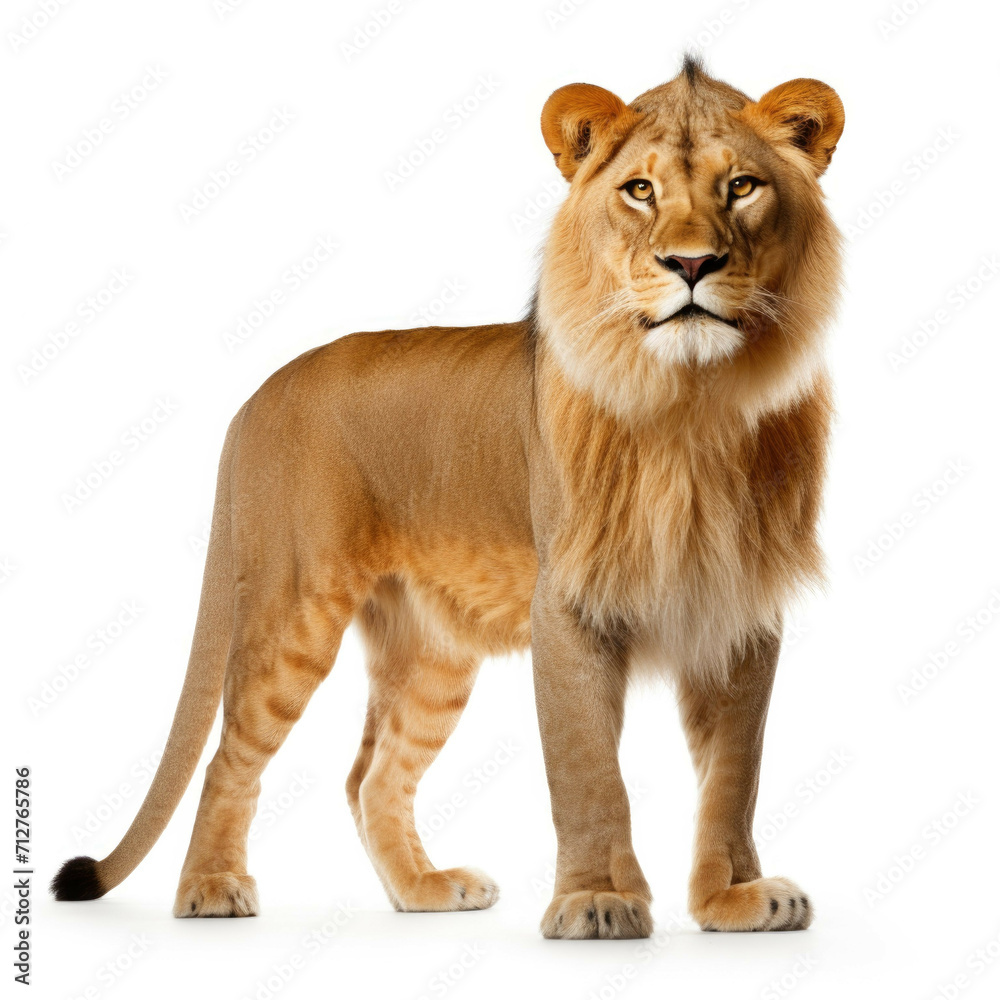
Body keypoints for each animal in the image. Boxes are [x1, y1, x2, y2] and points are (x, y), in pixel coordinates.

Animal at [52, 56, 844, 939]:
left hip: (431, 650)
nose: (693, 264)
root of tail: (257, 395)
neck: (693, 403)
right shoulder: (565, 602)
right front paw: (595, 900)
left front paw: (735, 898)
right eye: (640, 190)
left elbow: (735, 773)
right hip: (294, 609)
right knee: (232, 755)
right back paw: (211, 888)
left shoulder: (740, 607)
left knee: (371, 775)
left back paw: (425, 889)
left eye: (742, 186)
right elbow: (587, 767)